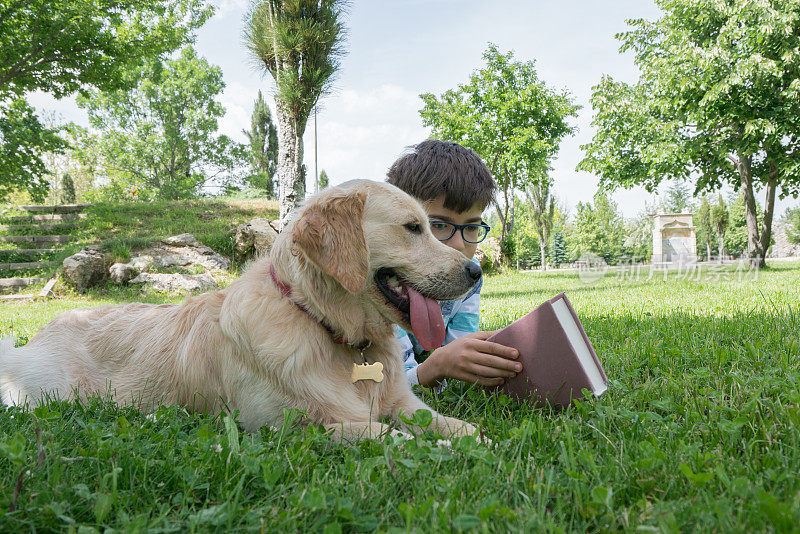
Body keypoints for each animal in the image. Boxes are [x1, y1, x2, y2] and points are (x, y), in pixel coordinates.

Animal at [0, 181, 484, 444]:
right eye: (413, 228)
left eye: (431, 226)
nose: (476, 270)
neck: (320, 321)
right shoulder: (284, 427)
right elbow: (384, 435)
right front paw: (436, 452)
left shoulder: (403, 402)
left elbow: (458, 427)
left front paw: (479, 440)